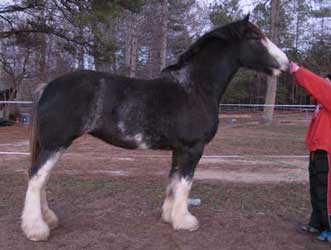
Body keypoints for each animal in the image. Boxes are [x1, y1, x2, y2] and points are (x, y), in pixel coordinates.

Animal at [22, 15, 290, 240]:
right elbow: (185, 183)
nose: (286, 63)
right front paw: (185, 221)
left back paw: (48, 220)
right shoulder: (193, 148)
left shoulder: (179, 149)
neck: (195, 88)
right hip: (56, 144)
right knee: (36, 178)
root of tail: (48, 86)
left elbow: (174, 181)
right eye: (255, 37)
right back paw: (36, 229)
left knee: (40, 179)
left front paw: (169, 216)